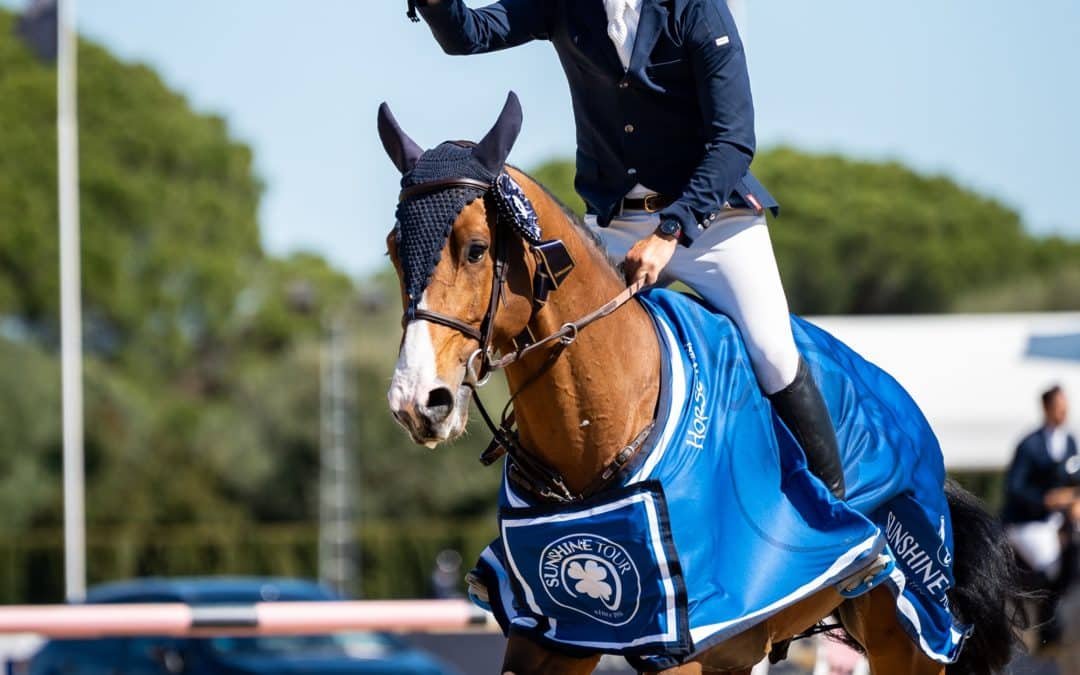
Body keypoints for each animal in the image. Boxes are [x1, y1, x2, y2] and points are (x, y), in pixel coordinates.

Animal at [378, 93, 1022, 674]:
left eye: (476, 249)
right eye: (393, 251)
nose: (418, 402)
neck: (597, 429)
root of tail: (911, 417)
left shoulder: (684, 636)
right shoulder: (557, 633)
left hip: (907, 628)